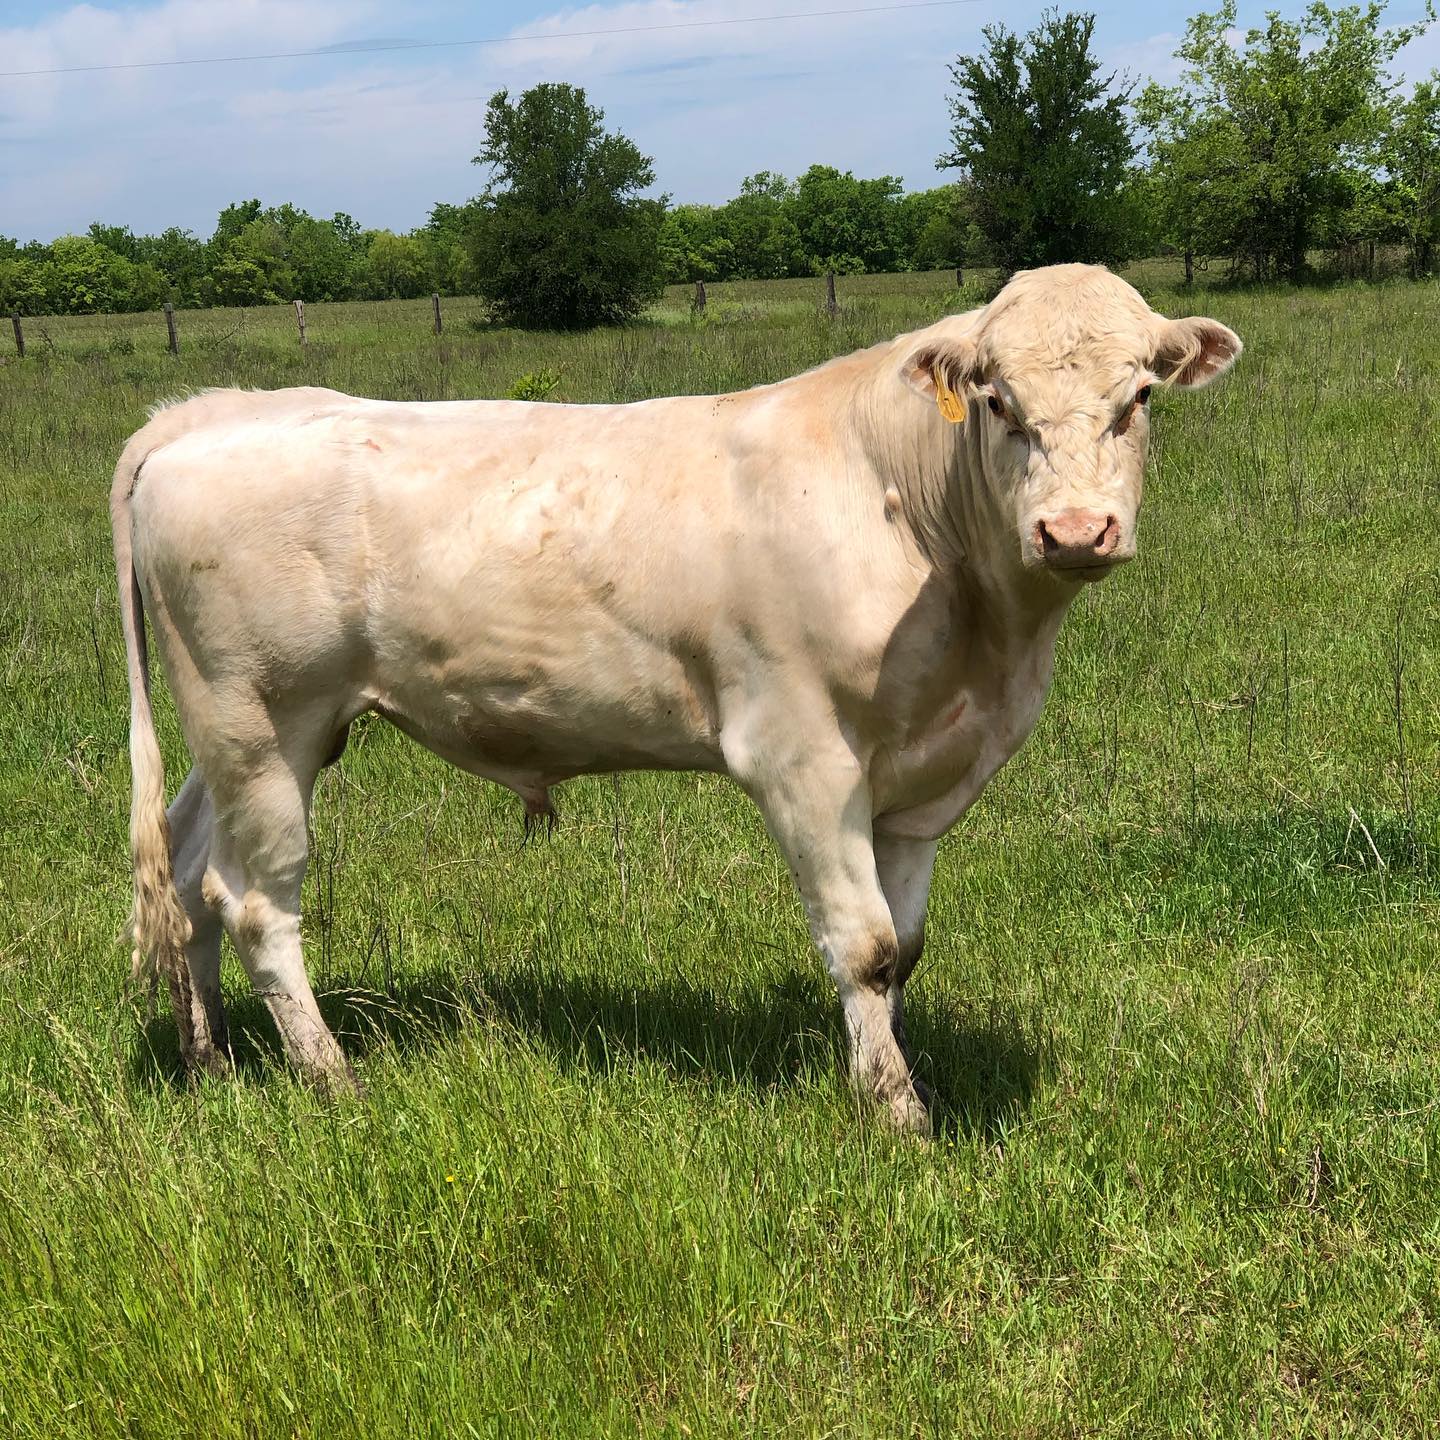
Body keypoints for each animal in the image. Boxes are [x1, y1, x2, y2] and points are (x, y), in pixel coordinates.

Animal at [112, 263, 1240, 1132]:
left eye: (1140, 397)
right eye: (1000, 401)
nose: (1075, 531)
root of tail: (209, 412)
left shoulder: (923, 774)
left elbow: (904, 948)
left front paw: (897, 1075)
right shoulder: (801, 756)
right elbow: (865, 946)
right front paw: (897, 1116)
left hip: (242, 736)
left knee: (186, 872)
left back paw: (211, 1063)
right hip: (263, 721)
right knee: (256, 901)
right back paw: (331, 1080)